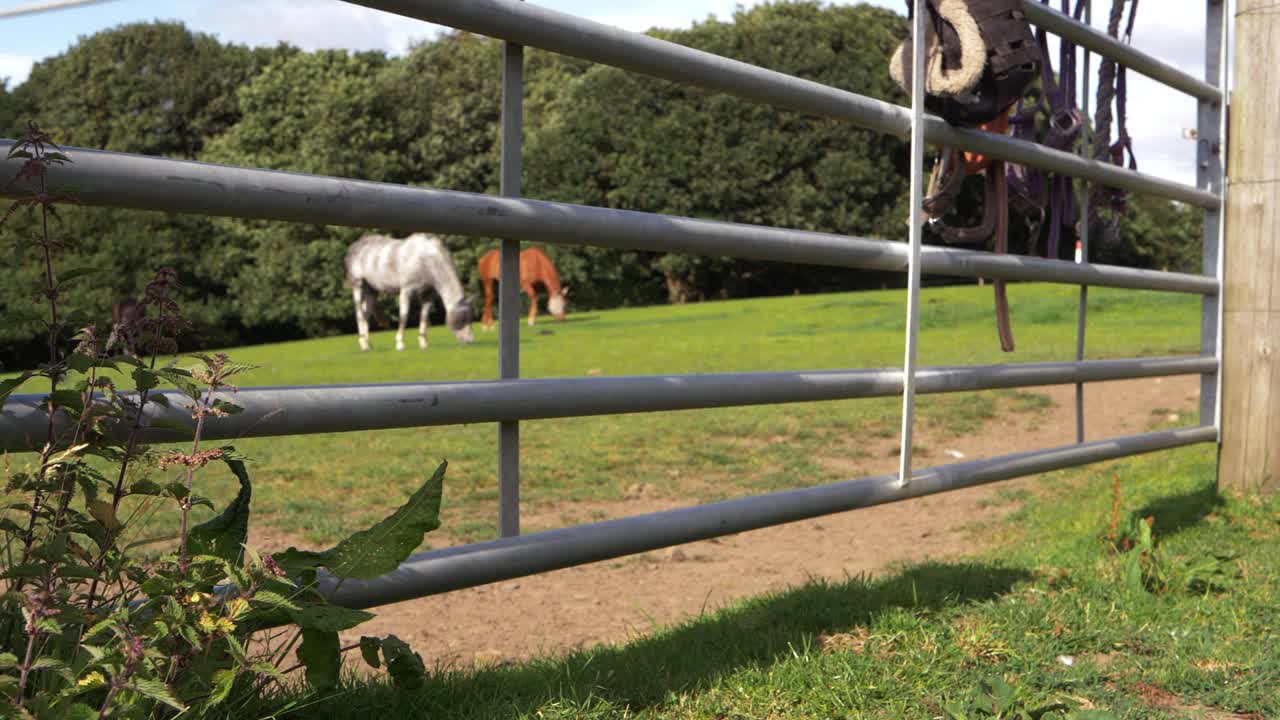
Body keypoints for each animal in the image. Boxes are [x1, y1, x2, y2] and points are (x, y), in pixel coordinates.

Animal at [345, 233, 475, 352]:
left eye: (470, 318)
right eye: (463, 319)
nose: (470, 341)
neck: (426, 260)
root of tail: (353, 246)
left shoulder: (428, 295)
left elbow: (424, 316)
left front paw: (423, 344)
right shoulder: (406, 291)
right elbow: (404, 316)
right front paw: (400, 344)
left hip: (371, 292)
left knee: (366, 315)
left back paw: (367, 344)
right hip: (358, 285)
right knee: (359, 313)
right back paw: (363, 344)